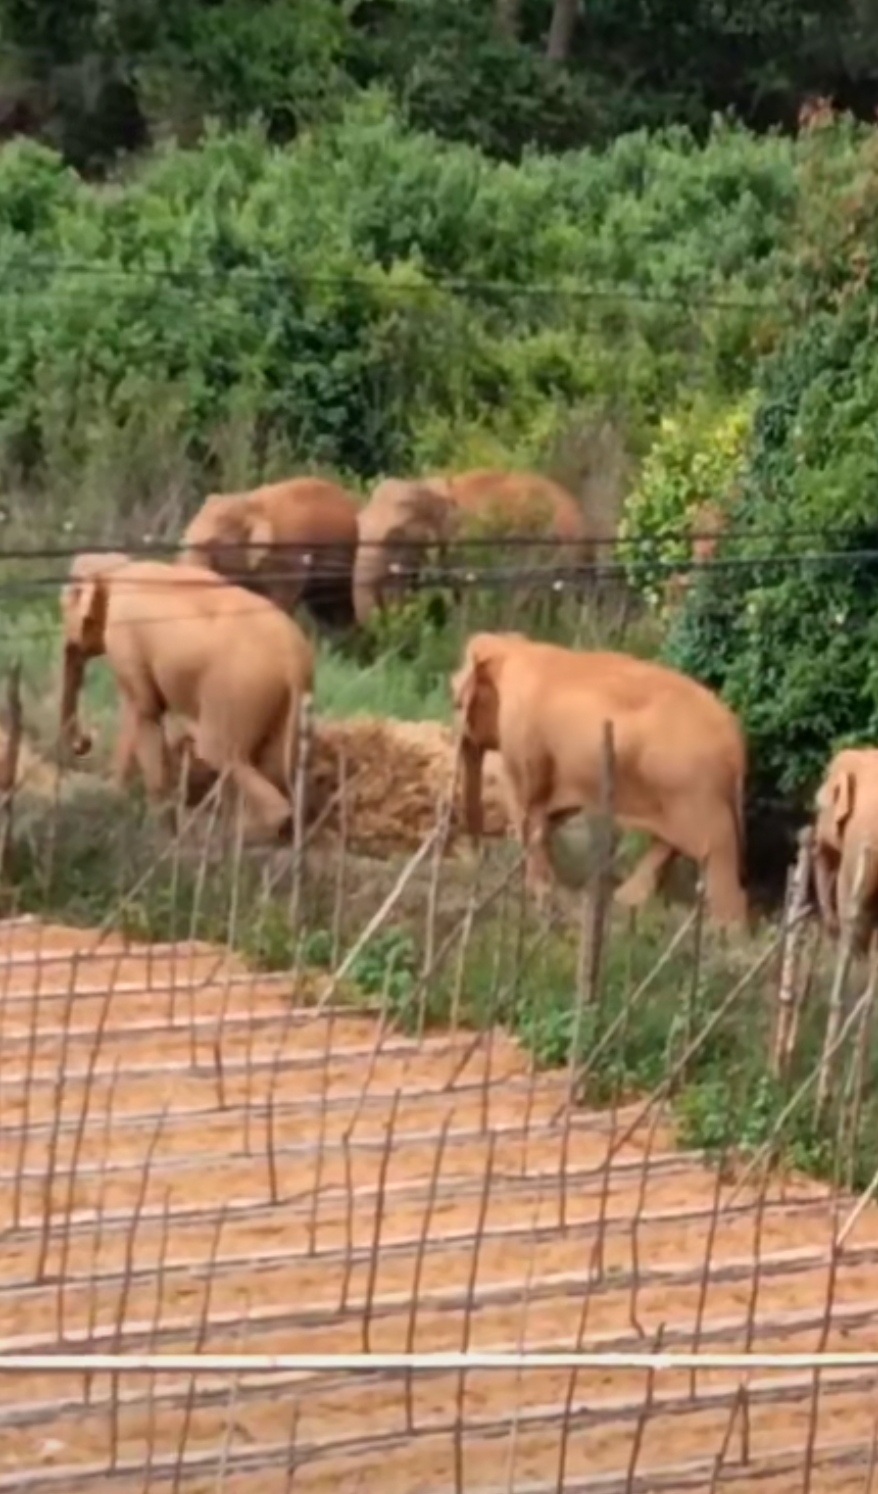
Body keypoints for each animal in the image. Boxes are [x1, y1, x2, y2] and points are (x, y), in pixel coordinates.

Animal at [58, 552, 313, 836]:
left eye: (65, 603)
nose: (84, 742)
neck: (119, 568)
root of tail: (294, 664)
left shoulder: (124, 637)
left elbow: (142, 709)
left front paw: (131, 812)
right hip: (283, 704)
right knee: (273, 766)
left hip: (238, 691)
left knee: (220, 753)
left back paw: (229, 834)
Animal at [453, 627, 746, 920]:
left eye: (455, 700)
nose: (475, 855)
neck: (515, 648)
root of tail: (738, 746)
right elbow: (552, 811)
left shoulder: (520, 735)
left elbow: (527, 804)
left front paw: (542, 896)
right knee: (670, 843)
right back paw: (626, 901)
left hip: (695, 787)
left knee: (717, 849)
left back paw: (725, 927)